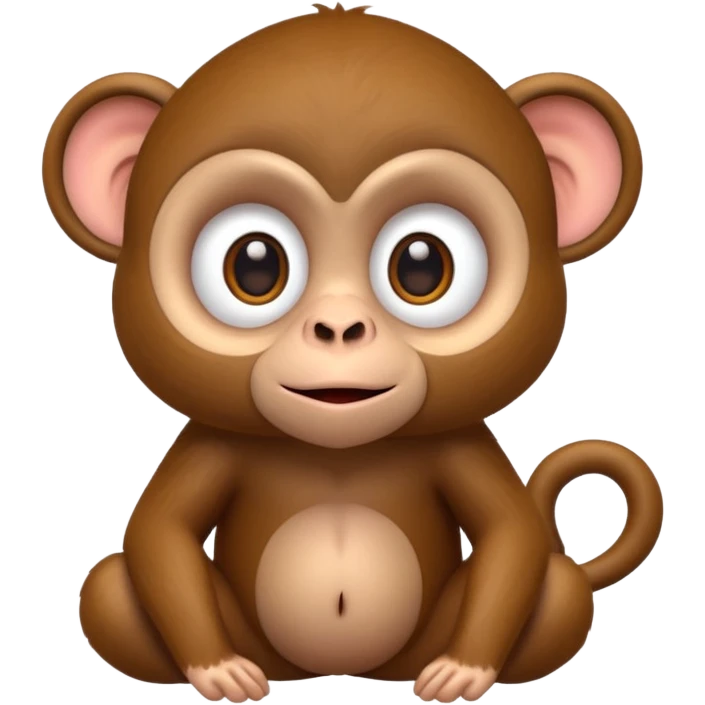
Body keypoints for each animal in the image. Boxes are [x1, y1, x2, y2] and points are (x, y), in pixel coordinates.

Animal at [43, 4, 663, 704]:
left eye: (422, 267)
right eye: (254, 266)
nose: (339, 327)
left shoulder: (461, 443)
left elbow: (513, 534)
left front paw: (468, 671)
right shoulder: (211, 443)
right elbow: (159, 534)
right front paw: (215, 671)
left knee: (558, 589)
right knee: (107, 591)